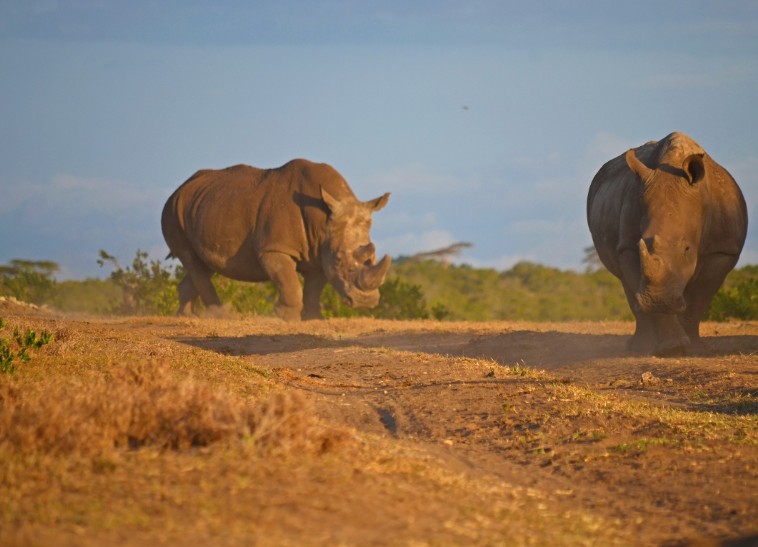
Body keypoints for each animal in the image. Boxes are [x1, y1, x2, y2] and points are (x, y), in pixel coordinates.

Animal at [161, 159, 391, 321]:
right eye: (340, 261)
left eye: (373, 256)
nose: (366, 302)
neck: (323, 221)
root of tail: (179, 188)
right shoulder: (274, 248)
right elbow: (290, 283)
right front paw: (287, 317)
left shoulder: (319, 251)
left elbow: (314, 288)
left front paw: (314, 319)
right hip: (172, 211)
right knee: (190, 258)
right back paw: (222, 316)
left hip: (203, 208)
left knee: (203, 264)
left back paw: (186, 316)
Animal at [587, 132, 747, 355]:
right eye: (642, 243)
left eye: (687, 249)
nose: (656, 299)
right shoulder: (628, 246)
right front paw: (673, 347)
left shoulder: (722, 250)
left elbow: (699, 298)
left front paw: (692, 349)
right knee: (628, 285)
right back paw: (640, 348)